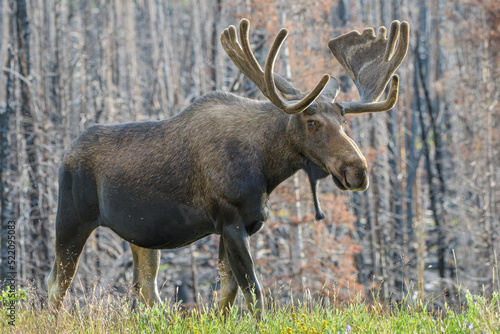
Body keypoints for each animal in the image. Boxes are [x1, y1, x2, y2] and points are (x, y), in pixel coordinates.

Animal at [47, 18, 408, 316]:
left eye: (344, 121)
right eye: (312, 122)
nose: (358, 170)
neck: (266, 167)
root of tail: (67, 152)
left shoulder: (242, 224)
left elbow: (228, 293)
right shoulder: (231, 221)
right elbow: (254, 292)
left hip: (142, 237)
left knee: (145, 289)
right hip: (71, 219)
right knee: (57, 282)